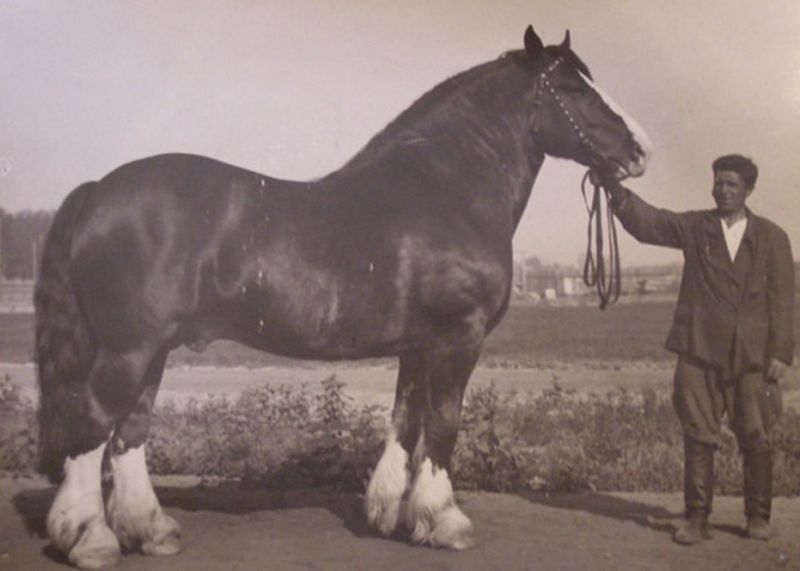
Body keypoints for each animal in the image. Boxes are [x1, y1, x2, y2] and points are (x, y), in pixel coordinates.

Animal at [35, 25, 650, 568]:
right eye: (573, 87)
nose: (641, 148)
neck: (447, 186)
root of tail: (98, 191)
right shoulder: (458, 337)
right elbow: (444, 424)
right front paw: (445, 522)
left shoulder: (418, 346)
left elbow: (405, 422)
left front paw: (392, 514)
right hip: (129, 348)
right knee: (93, 424)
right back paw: (90, 539)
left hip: (155, 349)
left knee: (129, 432)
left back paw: (151, 531)